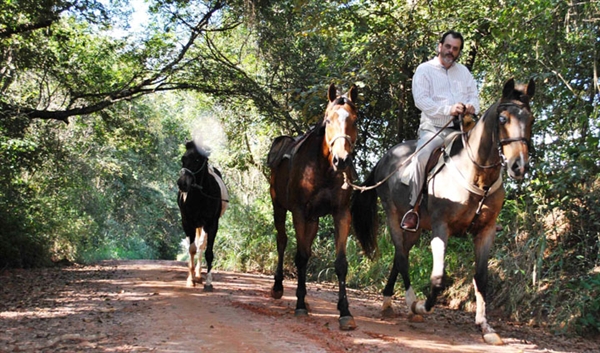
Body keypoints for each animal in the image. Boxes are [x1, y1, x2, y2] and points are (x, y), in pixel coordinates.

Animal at [177, 140, 229, 288]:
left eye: (197, 159)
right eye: (183, 159)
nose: (182, 183)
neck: (199, 196)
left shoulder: (212, 224)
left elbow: (208, 252)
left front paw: (208, 282)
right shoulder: (187, 222)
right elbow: (191, 249)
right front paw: (190, 280)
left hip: (203, 225)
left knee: (201, 245)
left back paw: (199, 276)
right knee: (195, 246)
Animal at [268, 83, 360, 330]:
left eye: (355, 119)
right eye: (328, 120)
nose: (342, 160)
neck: (323, 168)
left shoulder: (341, 213)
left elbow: (340, 263)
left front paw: (345, 311)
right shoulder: (299, 212)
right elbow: (300, 257)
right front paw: (299, 305)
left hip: (313, 219)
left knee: (307, 248)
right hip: (279, 207)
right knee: (282, 241)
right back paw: (279, 287)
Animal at [350, 77, 536, 344]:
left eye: (531, 120)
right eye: (503, 119)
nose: (518, 166)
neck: (477, 175)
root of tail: (384, 160)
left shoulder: (486, 231)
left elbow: (481, 278)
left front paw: (486, 327)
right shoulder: (441, 228)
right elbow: (437, 279)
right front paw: (422, 306)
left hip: (415, 228)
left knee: (399, 255)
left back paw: (388, 302)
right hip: (394, 218)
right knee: (402, 258)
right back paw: (410, 304)